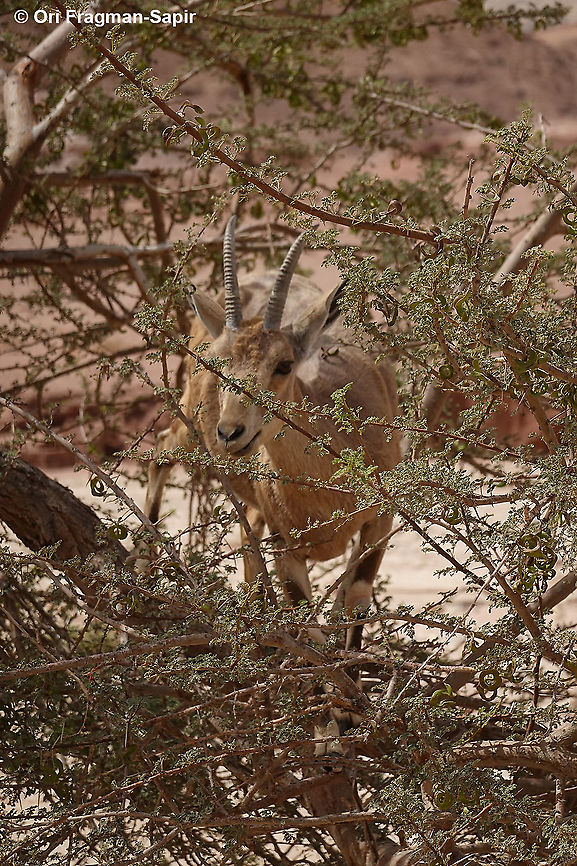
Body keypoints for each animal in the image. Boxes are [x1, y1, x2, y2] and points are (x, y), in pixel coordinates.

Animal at [144, 216, 401, 654]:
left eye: (283, 364)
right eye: (219, 363)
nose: (230, 433)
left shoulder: (379, 522)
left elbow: (353, 603)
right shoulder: (286, 548)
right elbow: (308, 629)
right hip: (189, 429)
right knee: (161, 452)